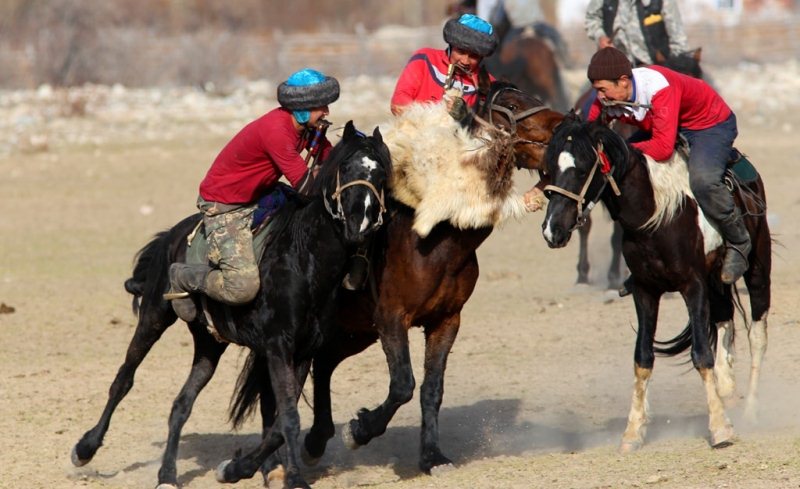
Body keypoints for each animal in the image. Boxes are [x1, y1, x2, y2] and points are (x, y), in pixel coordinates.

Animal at [70, 121, 392, 488]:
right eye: (346, 168)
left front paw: (243, 468)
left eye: (382, 175)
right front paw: (293, 478)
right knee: (124, 378)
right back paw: (85, 449)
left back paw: (167, 474)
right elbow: (289, 418)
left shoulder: (303, 352)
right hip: (154, 317)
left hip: (209, 344)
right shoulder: (278, 347)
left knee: (181, 403)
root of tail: (171, 235)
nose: (359, 224)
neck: (304, 261)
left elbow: (280, 422)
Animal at [540, 116, 772, 452]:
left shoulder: (693, 286)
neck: (657, 215)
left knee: (757, 333)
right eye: (548, 169)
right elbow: (643, 358)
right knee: (724, 316)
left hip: (757, 265)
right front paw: (632, 432)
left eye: (582, 169)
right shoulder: (646, 291)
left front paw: (720, 429)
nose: (552, 229)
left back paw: (752, 411)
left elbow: (701, 353)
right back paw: (727, 386)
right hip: (717, 278)